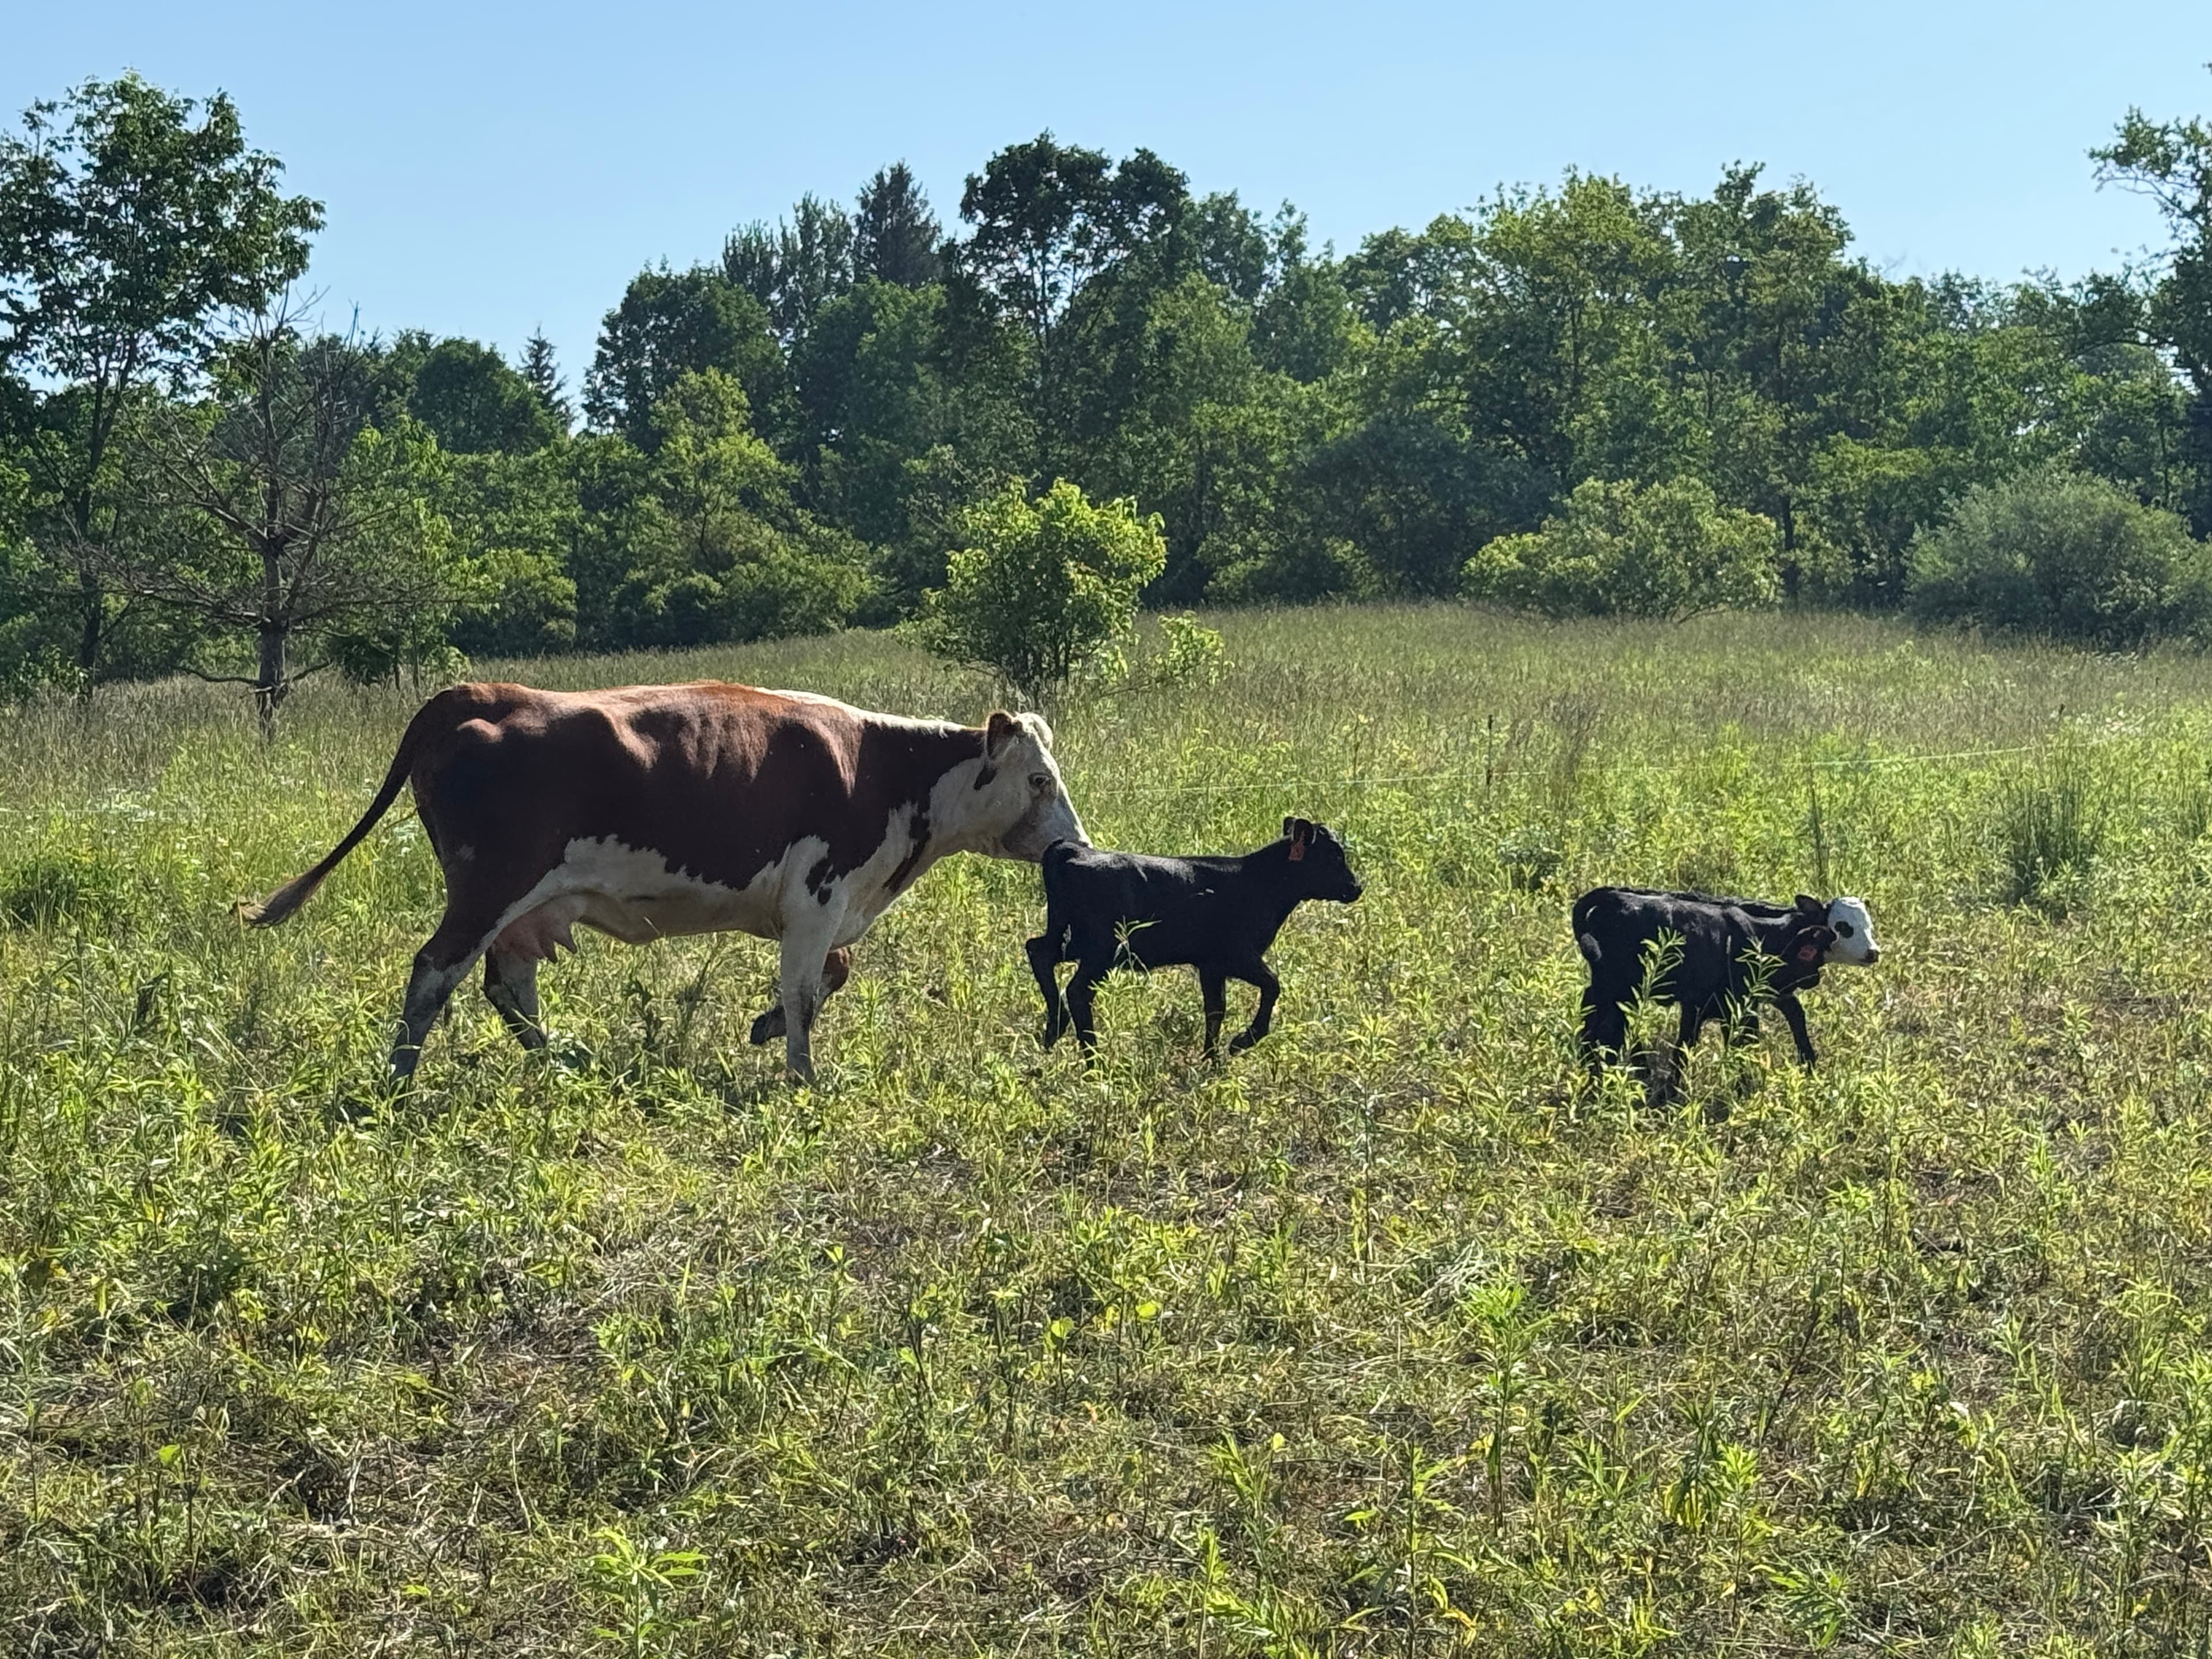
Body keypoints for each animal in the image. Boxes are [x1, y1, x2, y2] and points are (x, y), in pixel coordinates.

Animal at [242, 681, 1087, 1081]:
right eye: (1040, 780)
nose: (1076, 847)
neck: (884, 769)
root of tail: (486, 693)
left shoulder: (823, 909)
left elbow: (832, 974)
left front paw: (764, 1030)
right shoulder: (818, 896)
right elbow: (805, 991)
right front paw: (802, 1074)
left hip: (522, 907)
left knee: (506, 985)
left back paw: (560, 1062)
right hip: (490, 889)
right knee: (433, 975)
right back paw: (398, 1080)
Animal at [1025, 817, 1363, 1059]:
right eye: (1334, 856)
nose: (1356, 887)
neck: (1258, 882)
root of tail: (1072, 851)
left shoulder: (1211, 965)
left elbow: (1215, 1009)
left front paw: (1211, 1060)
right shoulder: (1237, 955)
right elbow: (1272, 985)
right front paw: (1243, 1041)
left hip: (1070, 939)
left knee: (1038, 951)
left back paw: (1056, 1028)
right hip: (1101, 950)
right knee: (1078, 991)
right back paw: (1094, 1062)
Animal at [1572, 887, 1881, 1073]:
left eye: (1869, 925)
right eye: (1843, 927)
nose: (1873, 952)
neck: (1769, 933)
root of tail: (1610, 895)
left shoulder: (1763, 994)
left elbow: (1796, 1017)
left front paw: (1810, 1066)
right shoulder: (1734, 1005)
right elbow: (1740, 1042)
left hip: (1608, 989)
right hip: (1619, 989)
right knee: (1608, 1030)